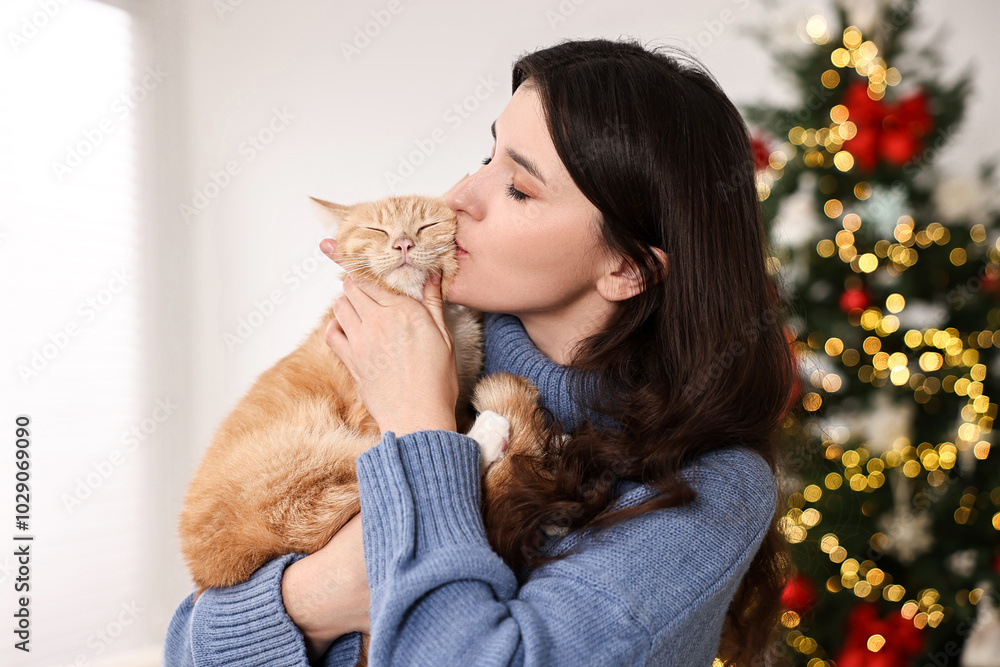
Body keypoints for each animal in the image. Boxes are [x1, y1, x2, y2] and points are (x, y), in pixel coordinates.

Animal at [178, 193, 548, 664]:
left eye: (426, 226)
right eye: (378, 231)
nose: (403, 244)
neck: (443, 322)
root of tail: (213, 566)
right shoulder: (370, 418)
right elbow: (416, 447)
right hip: (308, 462)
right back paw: (492, 431)